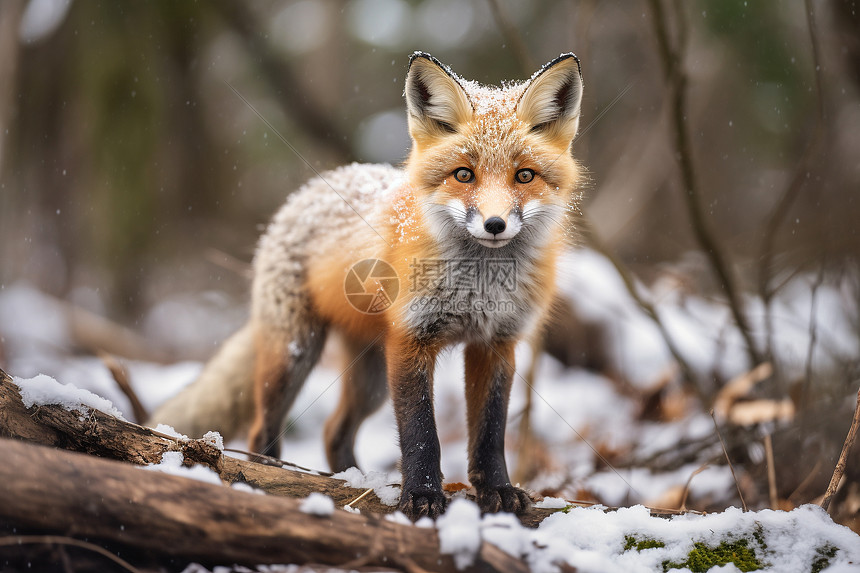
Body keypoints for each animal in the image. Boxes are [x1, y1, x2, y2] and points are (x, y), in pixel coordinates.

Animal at [153, 52, 584, 520]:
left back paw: (355, 482)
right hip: (295, 356)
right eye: (463, 174)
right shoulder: (411, 338)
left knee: (333, 431)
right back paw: (272, 478)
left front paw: (498, 490)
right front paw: (423, 497)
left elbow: (490, 431)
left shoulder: (497, 343)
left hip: (371, 382)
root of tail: (303, 195)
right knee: (261, 430)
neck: (479, 284)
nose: (494, 224)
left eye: (524, 176)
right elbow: (420, 433)